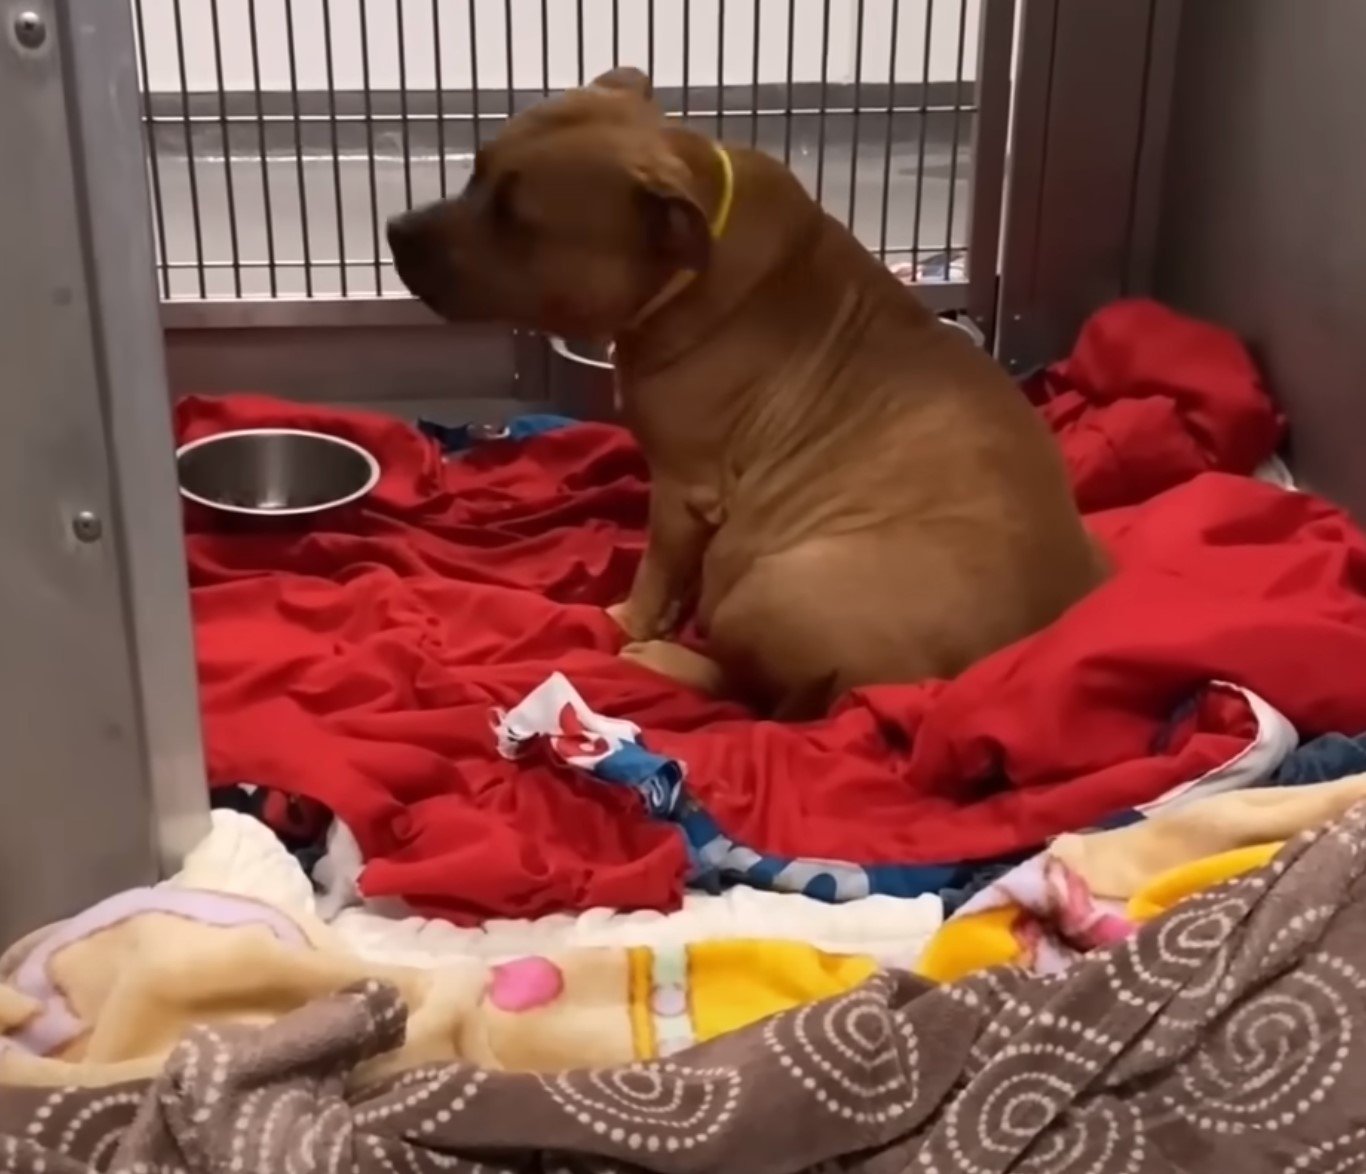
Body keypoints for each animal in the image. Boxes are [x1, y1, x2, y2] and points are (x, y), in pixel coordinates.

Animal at [387, 71, 1109, 727]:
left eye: (515, 218)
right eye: (476, 172)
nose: (396, 228)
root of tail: (951, 681)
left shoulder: (682, 489)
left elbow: (655, 569)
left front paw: (629, 617)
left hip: (769, 586)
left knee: (744, 691)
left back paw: (663, 660)